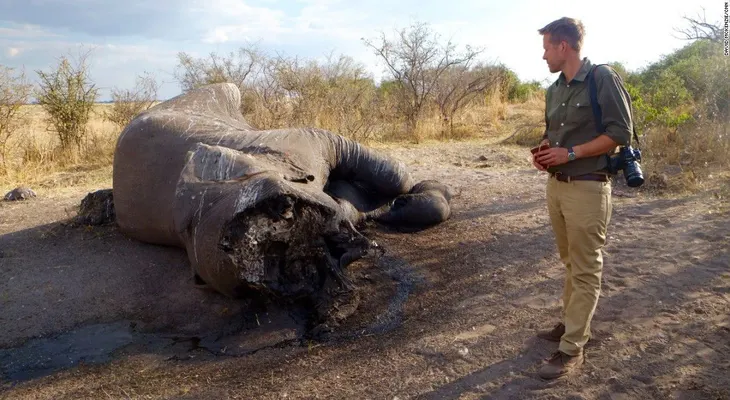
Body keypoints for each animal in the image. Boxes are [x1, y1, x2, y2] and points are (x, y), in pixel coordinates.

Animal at [111, 83, 452, 307]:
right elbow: (354, 203)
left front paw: (413, 198)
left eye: (283, 207)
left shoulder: (305, 140)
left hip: (218, 92)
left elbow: (395, 174)